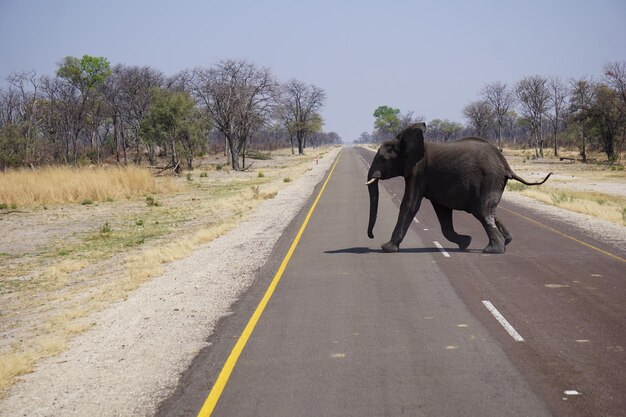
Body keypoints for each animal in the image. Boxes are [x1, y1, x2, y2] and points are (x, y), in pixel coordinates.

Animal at [364, 122, 548, 254]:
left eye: (383, 159)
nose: (372, 236)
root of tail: (505, 164)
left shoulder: (418, 172)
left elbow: (409, 205)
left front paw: (387, 248)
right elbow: (443, 213)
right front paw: (465, 242)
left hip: (489, 179)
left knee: (482, 212)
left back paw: (492, 250)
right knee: (488, 210)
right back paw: (506, 241)